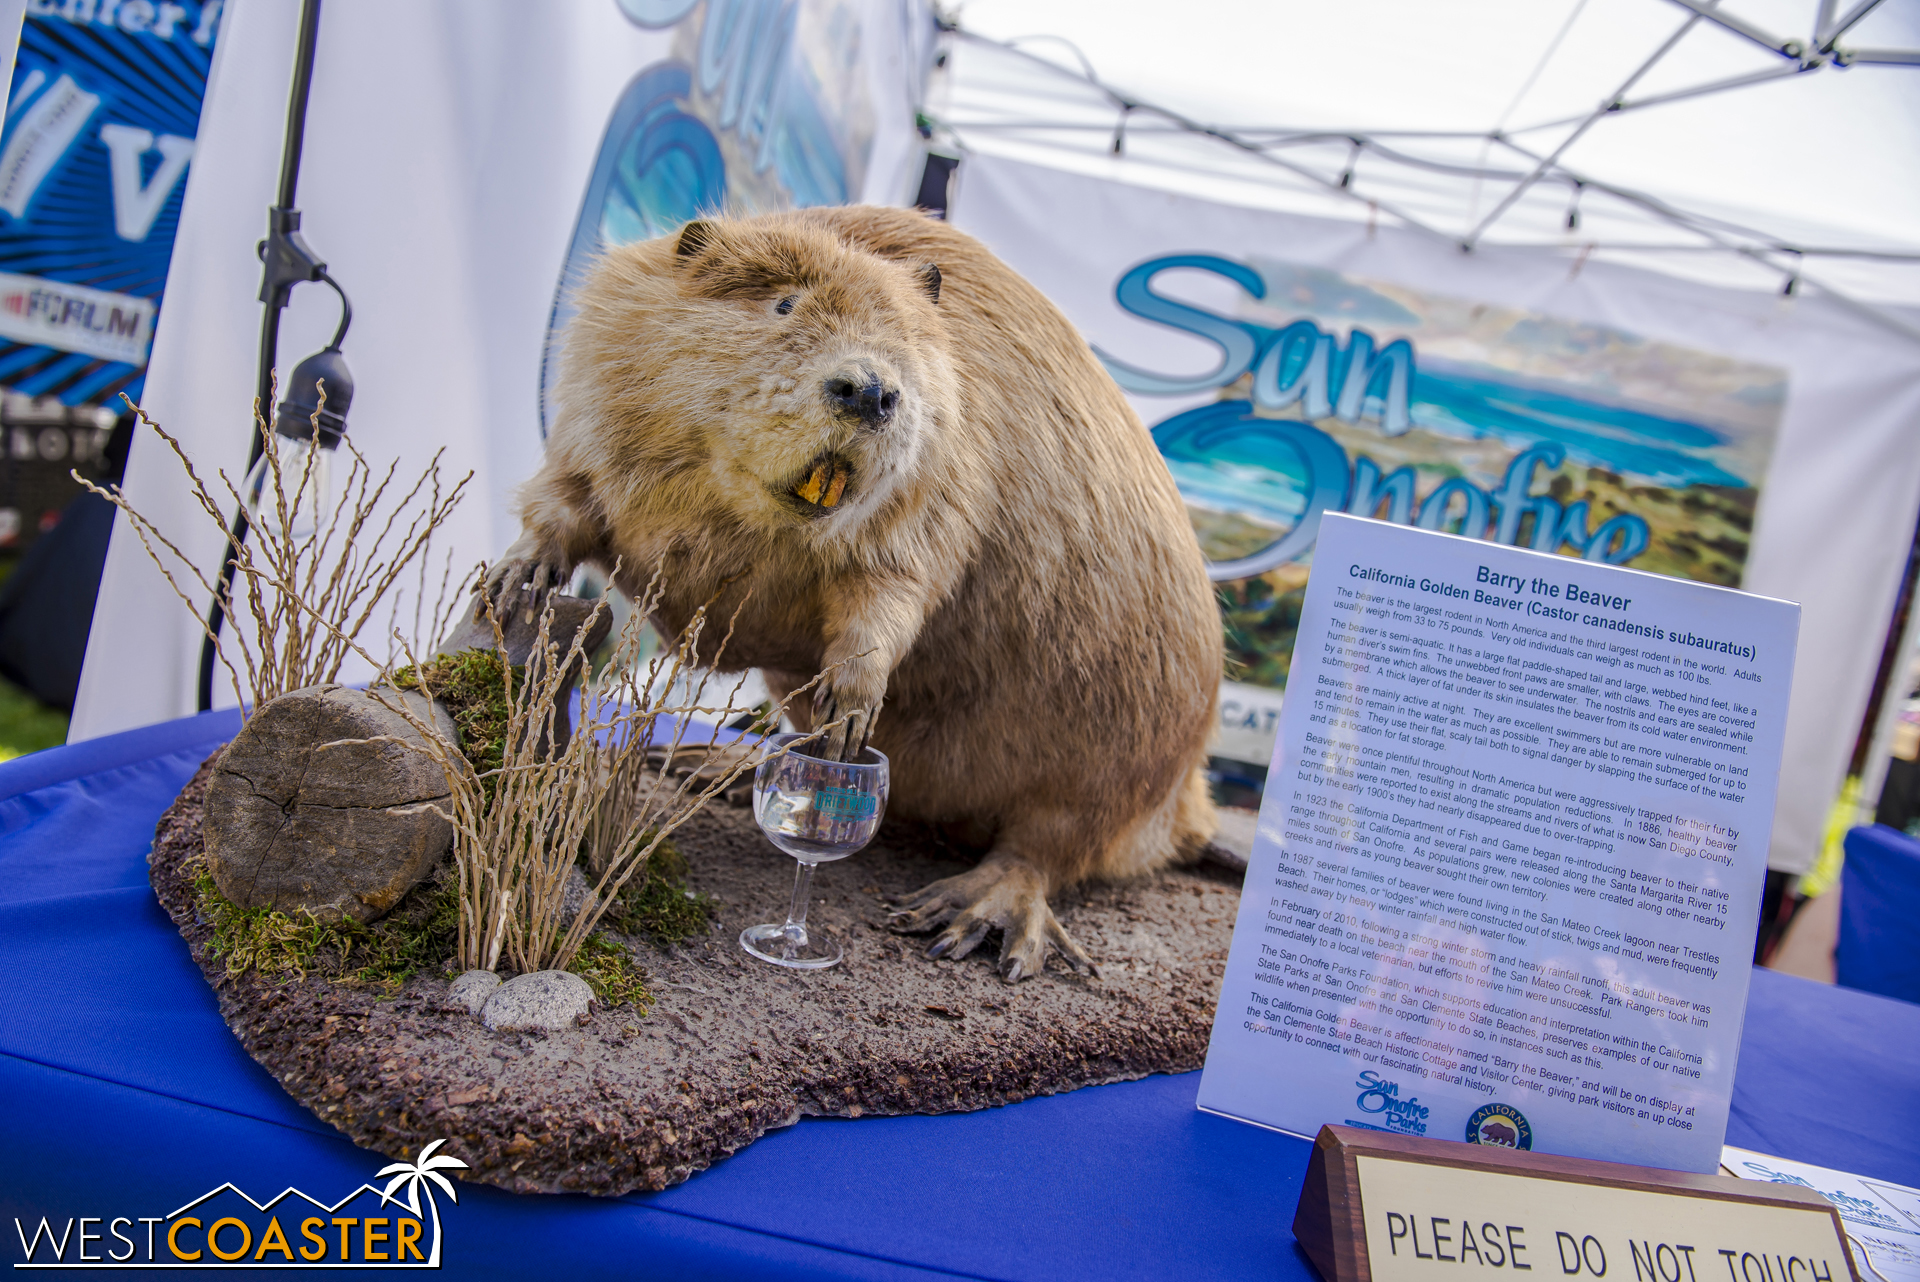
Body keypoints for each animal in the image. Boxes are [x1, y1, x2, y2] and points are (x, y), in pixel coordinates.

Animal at [495, 205, 1213, 974]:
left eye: (903, 335)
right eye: (784, 303)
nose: (869, 390)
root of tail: (1188, 815)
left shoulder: (948, 471)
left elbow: (890, 593)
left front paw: (850, 710)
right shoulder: (594, 411)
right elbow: (565, 500)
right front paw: (519, 579)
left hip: (1120, 750)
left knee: (1048, 846)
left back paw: (968, 916)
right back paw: (711, 760)